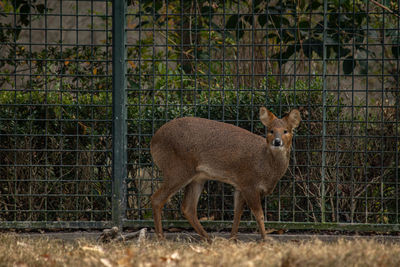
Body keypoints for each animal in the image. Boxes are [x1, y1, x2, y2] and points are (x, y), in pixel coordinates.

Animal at [150, 107, 300, 243]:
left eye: (286, 131)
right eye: (271, 130)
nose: (277, 141)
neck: (266, 166)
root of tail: (153, 141)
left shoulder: (240, 185)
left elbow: (237, 213)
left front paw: (232, 238)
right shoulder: (249, 184)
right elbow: (259, 214)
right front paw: (265, 239)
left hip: (197, 177)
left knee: (188, 207)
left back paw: (208, 239)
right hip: (178, 169)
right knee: (157, 199)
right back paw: (161, 239)